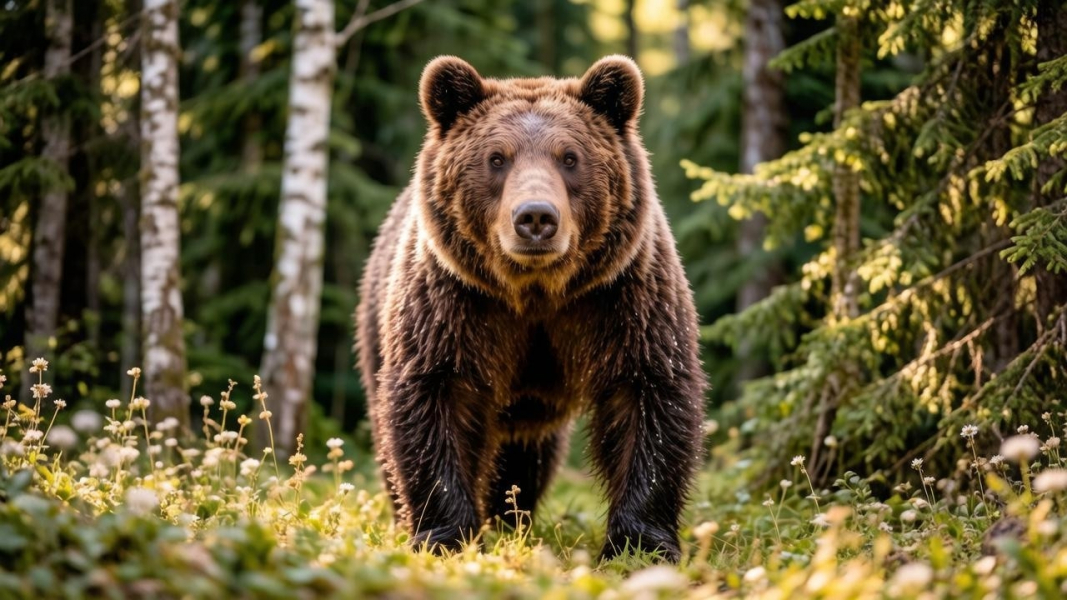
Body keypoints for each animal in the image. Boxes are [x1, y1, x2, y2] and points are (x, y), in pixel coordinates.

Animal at [355, 55, 706, 562]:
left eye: (570, 157)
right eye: (497, 158)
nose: (536, 217)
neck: (536, 291)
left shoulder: (621, 300)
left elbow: (649, 397)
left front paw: (639, 543)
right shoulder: (453, 306)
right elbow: (434, 400)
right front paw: (447, 537)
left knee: (528, 454)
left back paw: (511, 516)